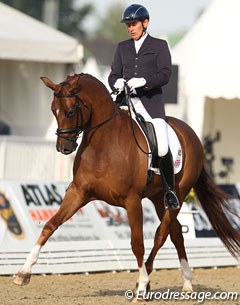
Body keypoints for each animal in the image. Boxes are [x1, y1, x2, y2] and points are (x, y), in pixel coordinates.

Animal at [14, 73, 239, 300]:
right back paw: (186, 283)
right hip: (159, 198)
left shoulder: (132, 201)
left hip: (179, 194)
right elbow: (50, 225)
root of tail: (190, 133)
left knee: (161, 234)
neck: (103, 145)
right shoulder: (78, 193)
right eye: (53, 110)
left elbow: (137, 243)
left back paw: (148, 281)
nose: (63, 148)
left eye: (70, 111)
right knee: (175, 232)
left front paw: (142, 285)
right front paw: (23, 272)